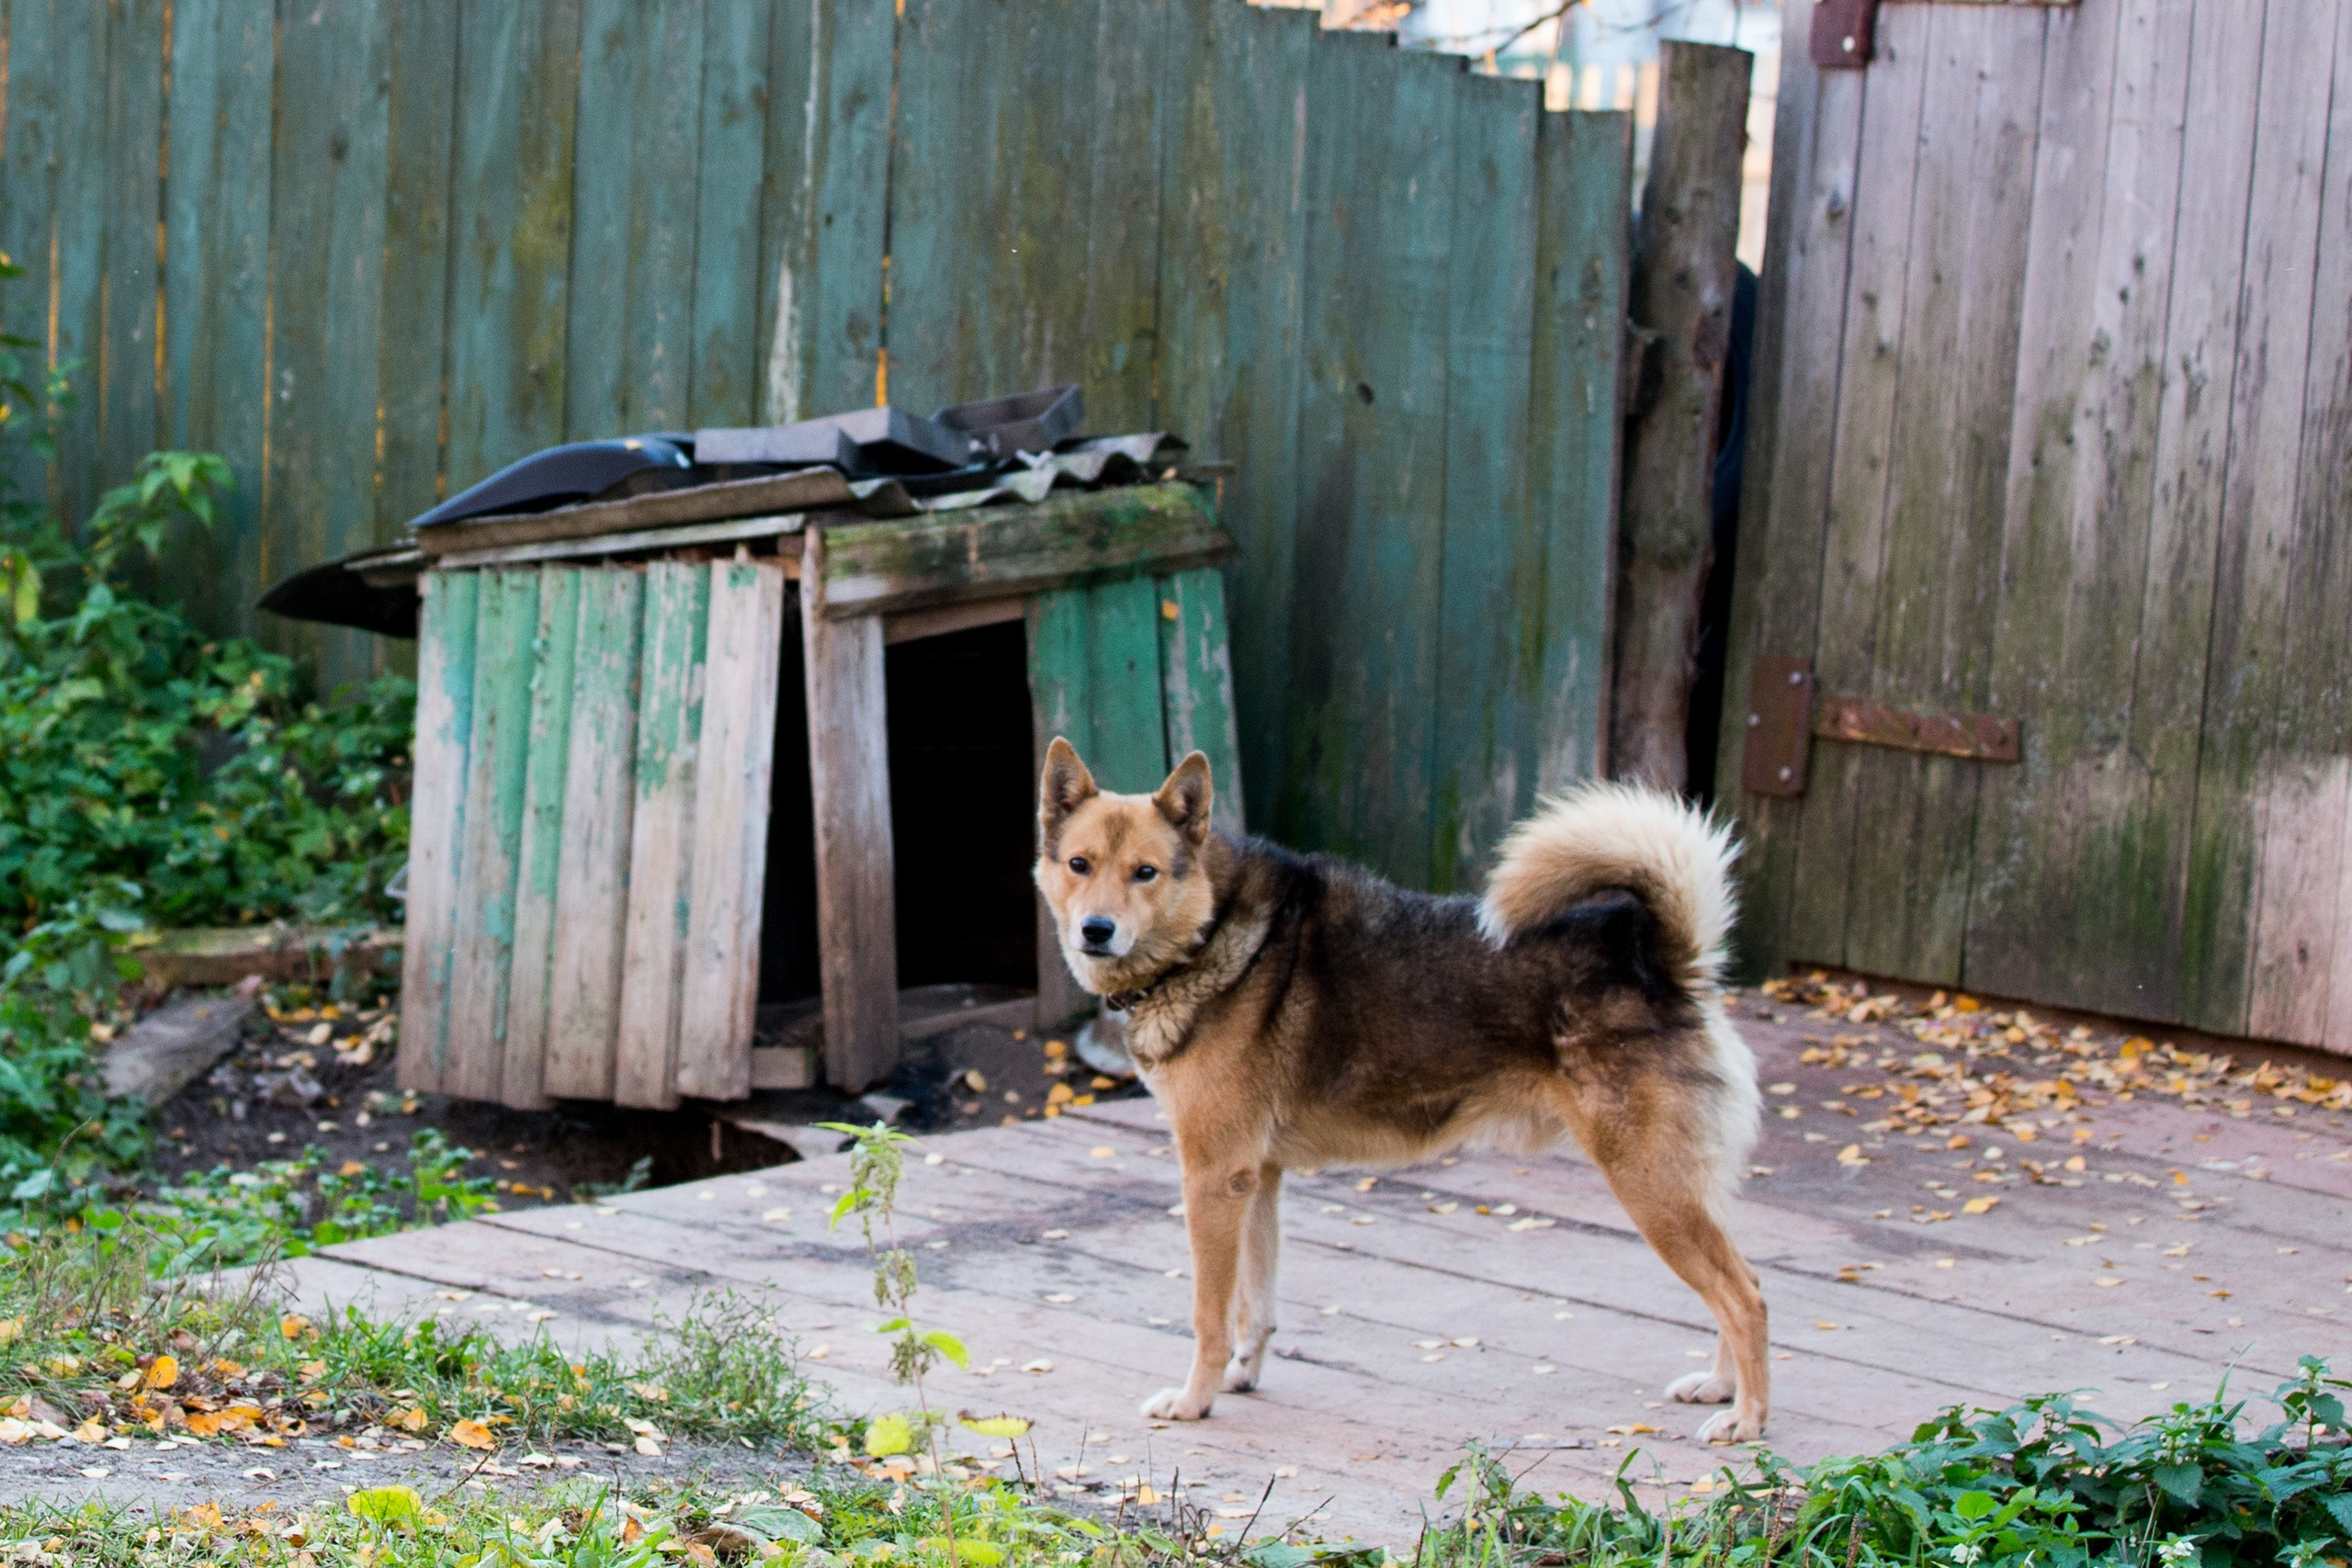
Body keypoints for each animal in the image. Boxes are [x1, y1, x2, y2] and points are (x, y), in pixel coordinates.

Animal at [1039, 742, 1769, 1438]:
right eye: (1079, 864)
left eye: (1146, 872)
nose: (1096, 930)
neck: (1211, 931)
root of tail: (1665, 965)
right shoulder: (1257, 1179)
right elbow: (1256, 1304)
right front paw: (1241, 1377)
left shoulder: (1213, 1179)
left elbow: (1210, 1315)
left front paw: (1195, 1400)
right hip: (1685, 1191)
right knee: (1739, 1287)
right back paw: (1720, 1388)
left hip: (1652, 1189)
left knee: (1745, 1297)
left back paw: (1748, 1419)